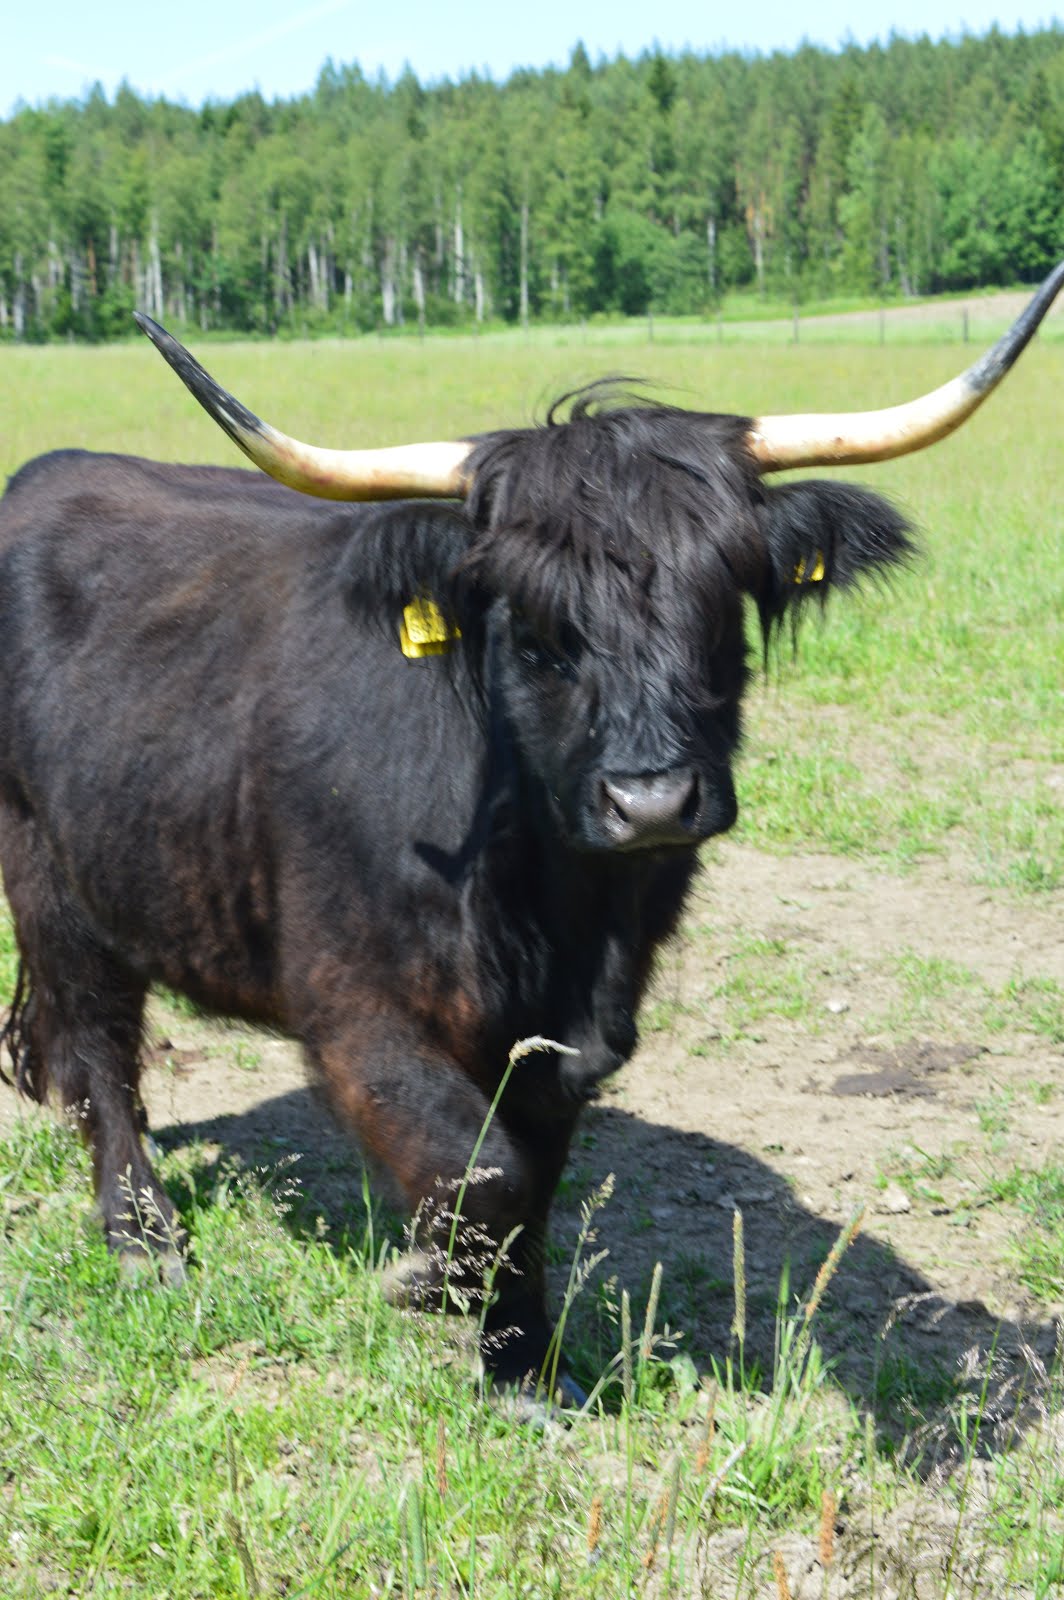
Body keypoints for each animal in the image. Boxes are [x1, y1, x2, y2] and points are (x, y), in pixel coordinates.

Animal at [0, 262, 1056, 1388]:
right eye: (535, 625)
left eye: (722, 602)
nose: (652, 801)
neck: (554, 899)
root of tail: (54, 472)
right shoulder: (356, 1009)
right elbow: (487, 1176)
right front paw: (427, 1276)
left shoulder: (569, 1035)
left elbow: (532, 1191)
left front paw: (522, 1364)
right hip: (52, 882)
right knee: (99, 1053)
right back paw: (141, 1234)